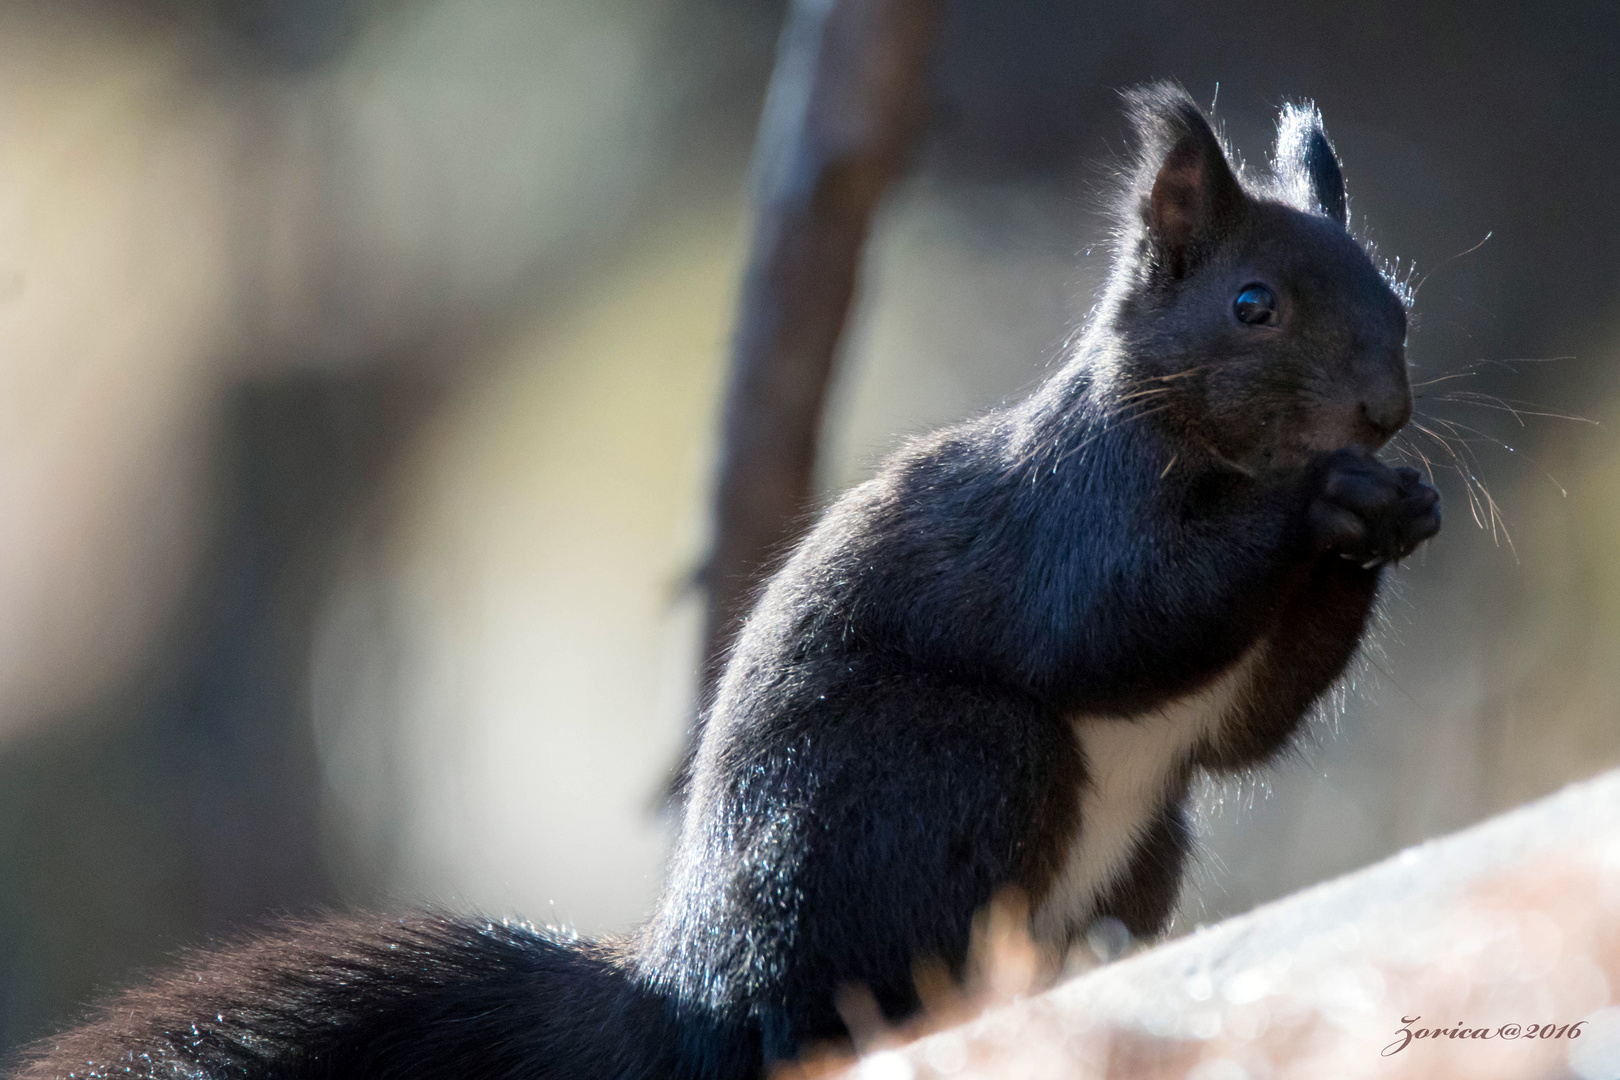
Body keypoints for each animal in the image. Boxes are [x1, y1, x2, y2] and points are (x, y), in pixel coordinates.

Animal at [19, 86, 1445, 1080]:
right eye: (1253, 304)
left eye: (1402, 299)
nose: (1383, 414)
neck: (1200, 448)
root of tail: (692, 982)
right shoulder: (1069, 520)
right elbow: (1123, 623)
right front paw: (1323, 504)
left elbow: (1245, 727)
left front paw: (1397, 511)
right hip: (954, 769)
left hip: (1144, 843)